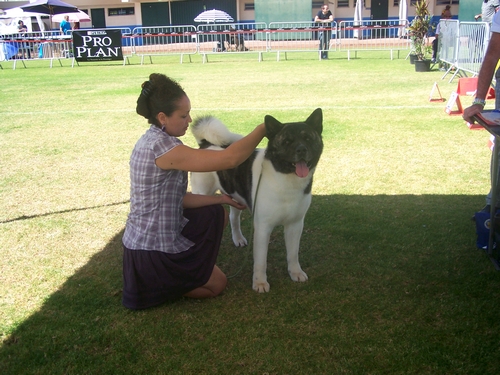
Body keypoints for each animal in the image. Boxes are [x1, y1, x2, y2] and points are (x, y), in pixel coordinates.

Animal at [188, 108, 324, 294]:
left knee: (233, 218)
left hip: (235, 195)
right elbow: (260, 260)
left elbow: (293, 253)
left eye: (308, 139)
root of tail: (205, 144)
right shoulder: (262, 227)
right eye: (287, 141)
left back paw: (238, 239)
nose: (302, 149)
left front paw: (295, 272)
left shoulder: (295, 225)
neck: (285, 178)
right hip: (202, 191)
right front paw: (259, 283)